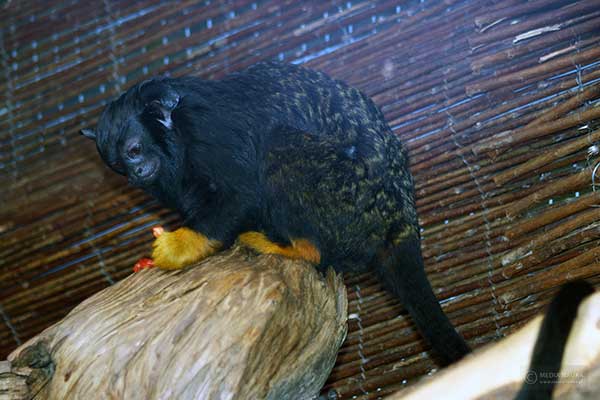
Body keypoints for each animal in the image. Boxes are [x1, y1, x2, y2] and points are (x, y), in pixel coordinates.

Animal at [81, 61, 468, 364]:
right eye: (118, 165)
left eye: (134, 150)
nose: (135, 172)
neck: (175, 139)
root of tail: (400, 219)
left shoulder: (210, 131)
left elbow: (241, 192)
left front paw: (176, 248)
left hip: (349, 196)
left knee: (279, 145)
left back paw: (297, 248)